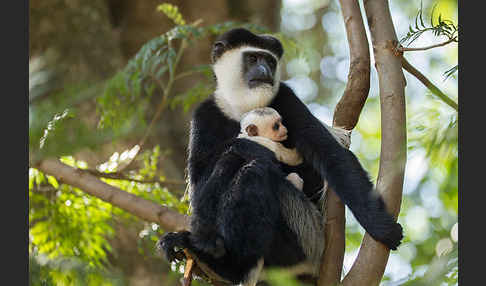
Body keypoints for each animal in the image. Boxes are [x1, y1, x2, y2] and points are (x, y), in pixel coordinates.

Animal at [159, 27, 402, 284]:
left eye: (270, 61)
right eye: (253, 58)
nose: (265, 71)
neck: (242, 108)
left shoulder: (287, 98)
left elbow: (331, 155)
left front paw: (382, 227)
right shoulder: (205, 114)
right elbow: (198, 183)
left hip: (304, 236)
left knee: (253, 172)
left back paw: (226, 266)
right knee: (231, 166)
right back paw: (211, 258)